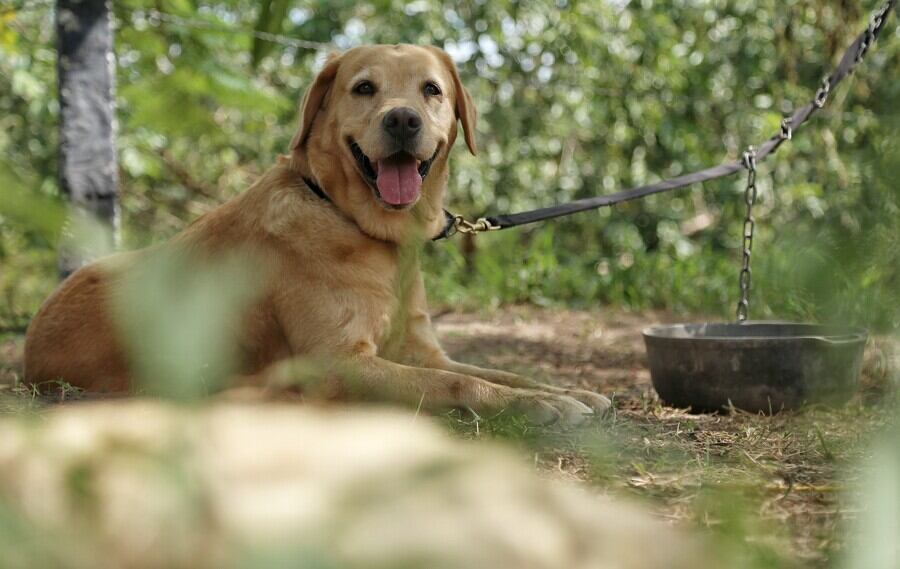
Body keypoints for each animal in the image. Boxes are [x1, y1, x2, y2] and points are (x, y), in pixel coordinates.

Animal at [24, 44, 612, 424]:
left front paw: (566, 391)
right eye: (364, 88)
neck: (358, 226)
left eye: (432, 90)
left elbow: (501, 373)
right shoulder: (338, 363)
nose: (403, 120)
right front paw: (542, 406)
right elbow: (461, 382)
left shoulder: (422, 352)